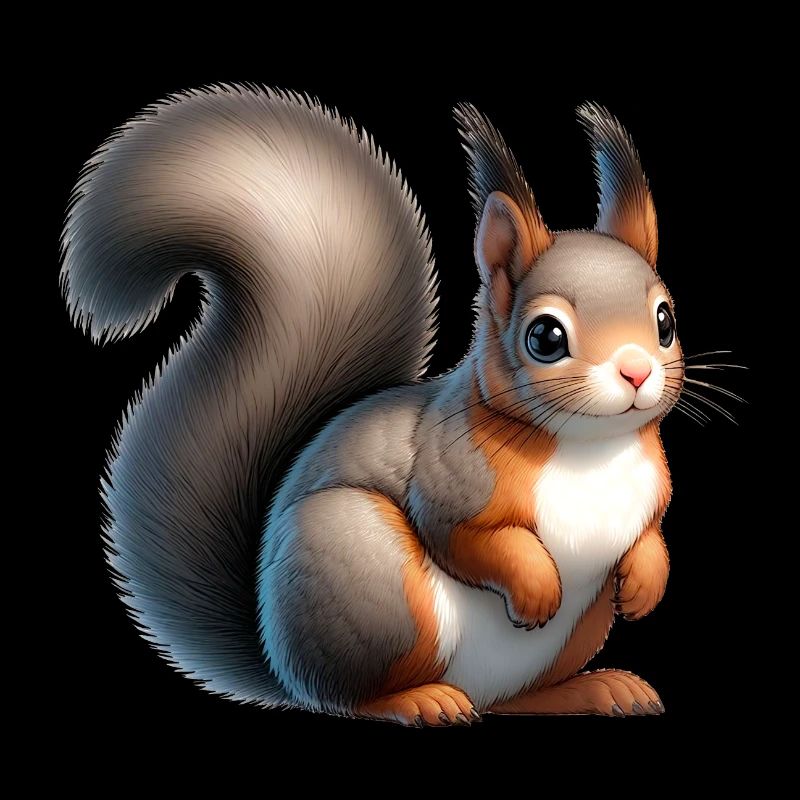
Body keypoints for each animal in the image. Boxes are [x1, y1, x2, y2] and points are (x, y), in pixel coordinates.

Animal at [61, 85, 680, 725]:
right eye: (546, 337)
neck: (590, 448)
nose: (636, 370)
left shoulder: (652, 486)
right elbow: (468, 538)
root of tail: (281, 666)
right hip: (370, 571)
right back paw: (423, 700)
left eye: (665, 321)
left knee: (519, 699)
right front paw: (535, 589)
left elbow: (649, 531)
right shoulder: (450, 476)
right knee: (353, 696)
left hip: (573, 633)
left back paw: (598, 689)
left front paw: (645, 581)